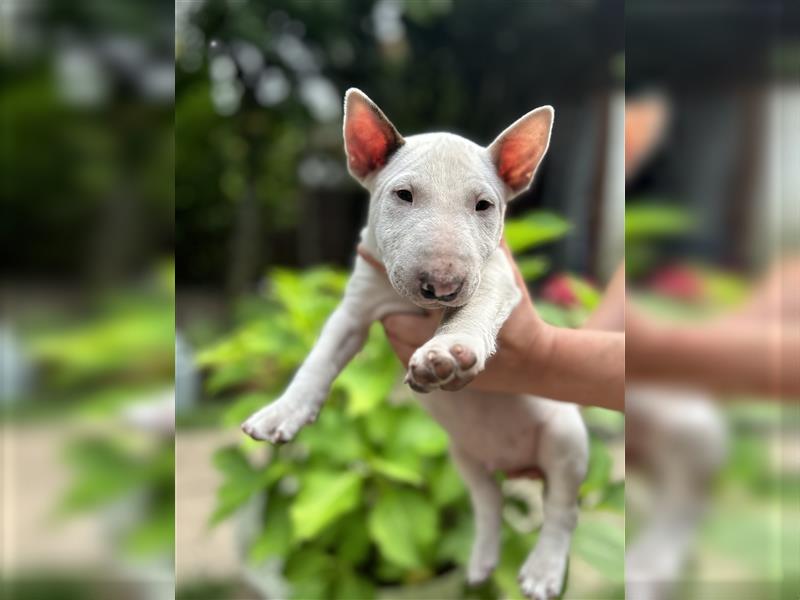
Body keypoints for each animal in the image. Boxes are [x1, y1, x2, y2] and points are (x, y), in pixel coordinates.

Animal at [241, 89, 592, 600]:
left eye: (484, 205)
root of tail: (514, 464)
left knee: (562, 510)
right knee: (488, 503)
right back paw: (481, 563)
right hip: (464, 456)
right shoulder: (355, 308)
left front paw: (446, 352)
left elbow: (472, 310)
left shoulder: (496, 278)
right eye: (403, 195)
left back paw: (543, 570)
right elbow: (318, 359)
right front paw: (280, 413)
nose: (442, 286)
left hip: (566, 441)